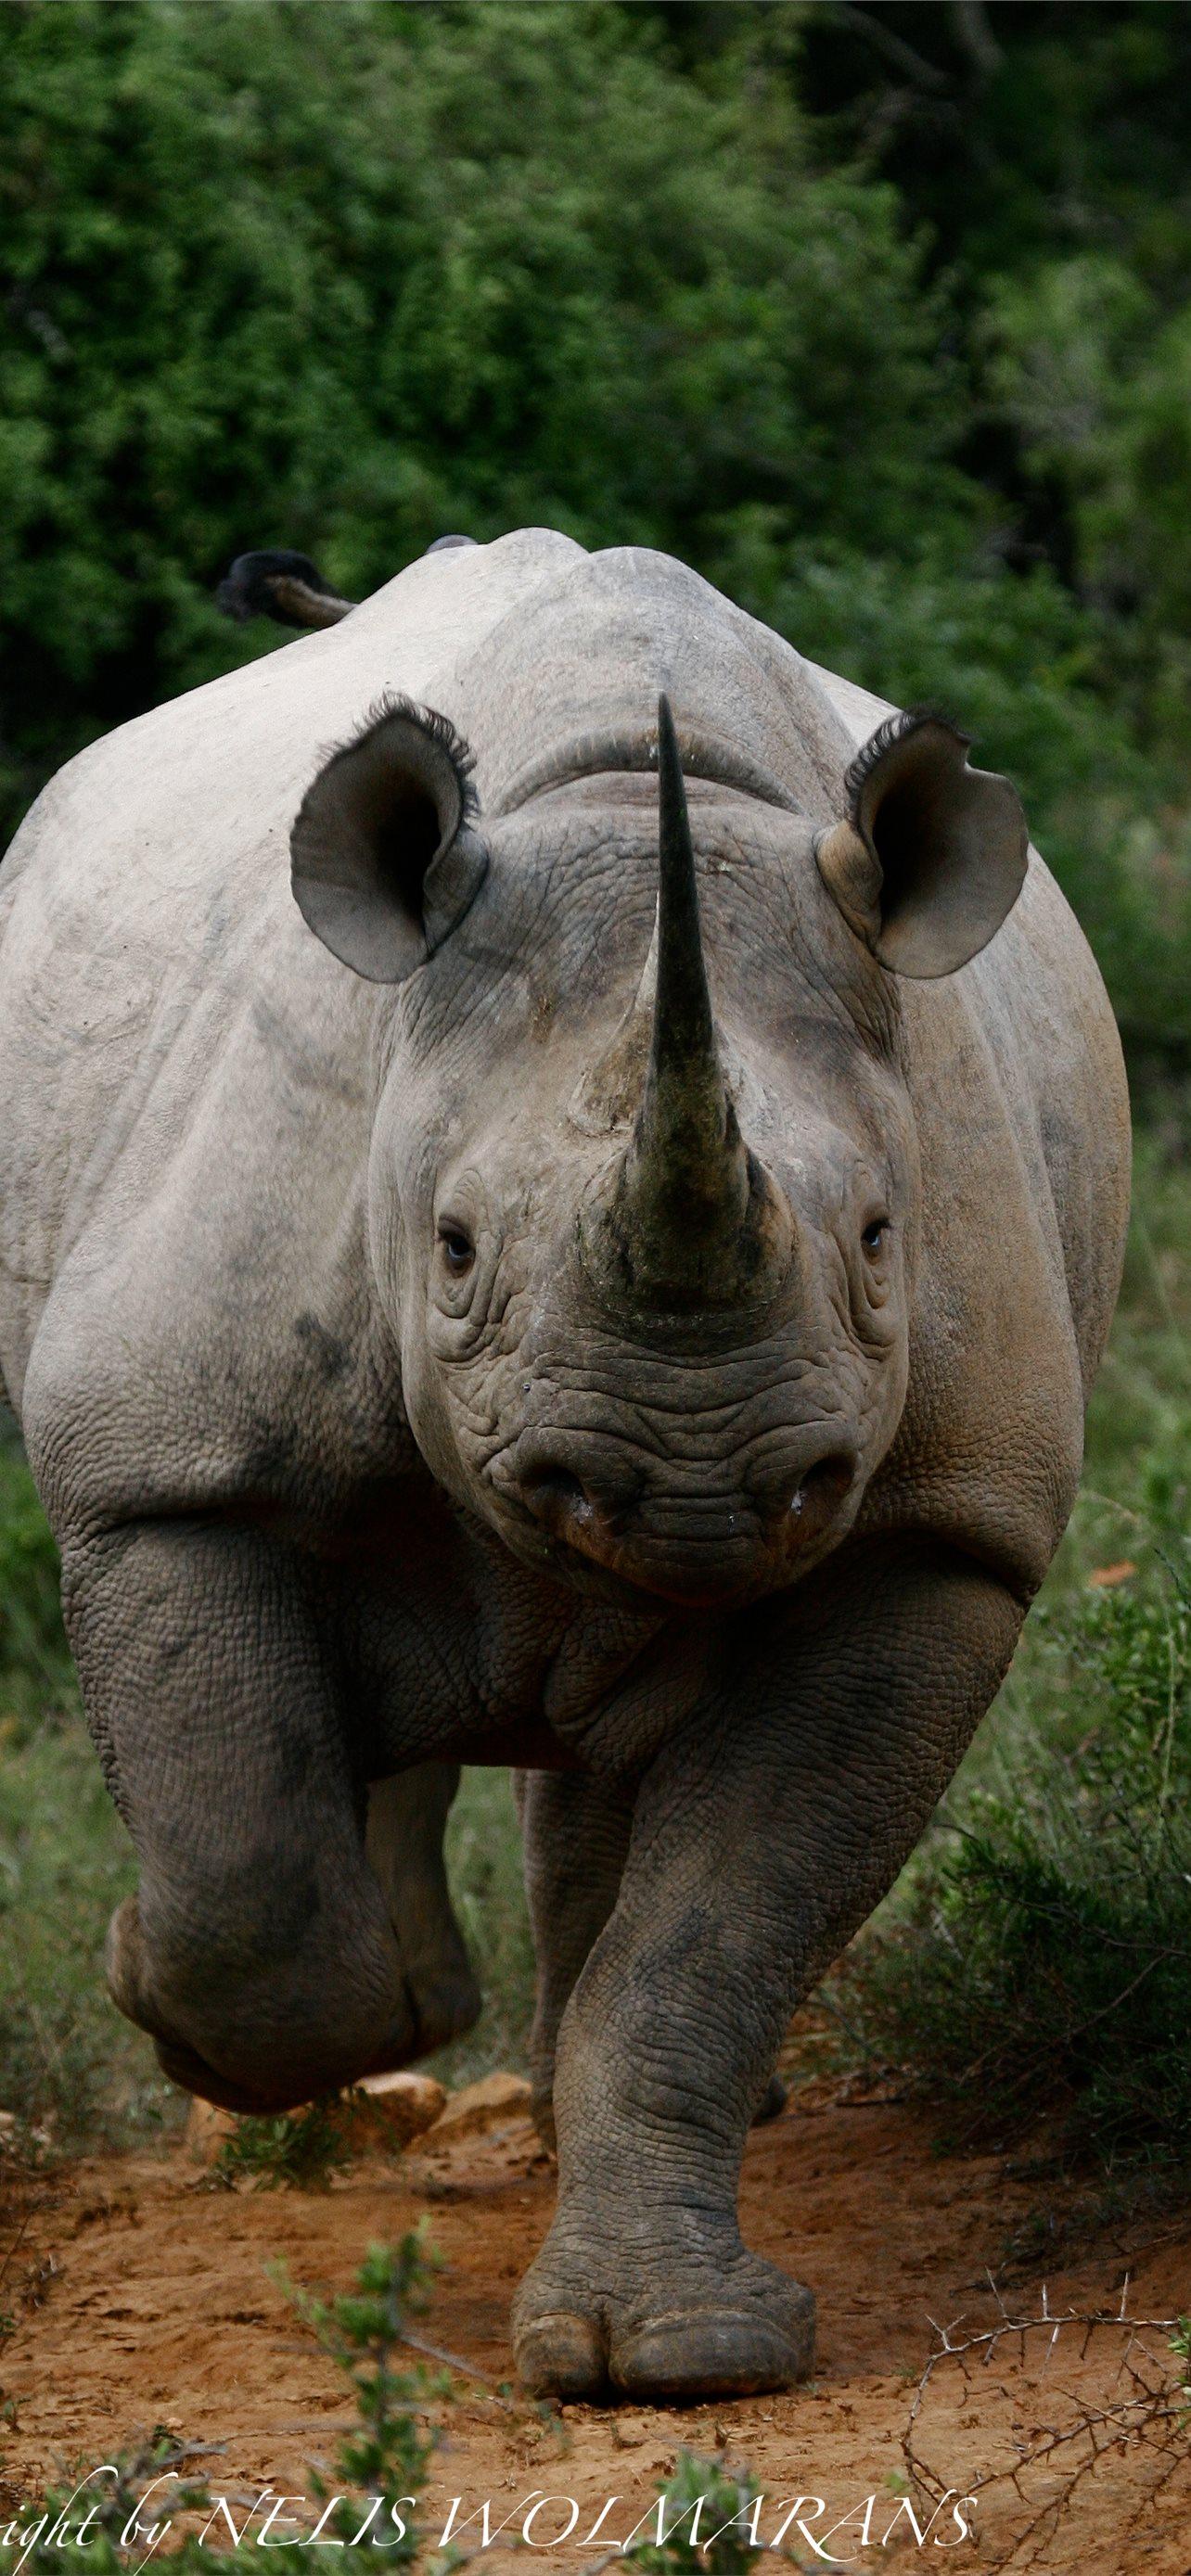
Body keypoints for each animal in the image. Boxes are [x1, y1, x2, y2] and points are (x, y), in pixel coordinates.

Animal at [0, 529, 1129, 2401]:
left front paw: (672, 2355)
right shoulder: (158, 1460)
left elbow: (710, 1938)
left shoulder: (941, 1536)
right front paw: (174, 1998)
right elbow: (249, 1890)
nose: (691, 1482)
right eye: (454, 1252)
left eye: (881, 1243)